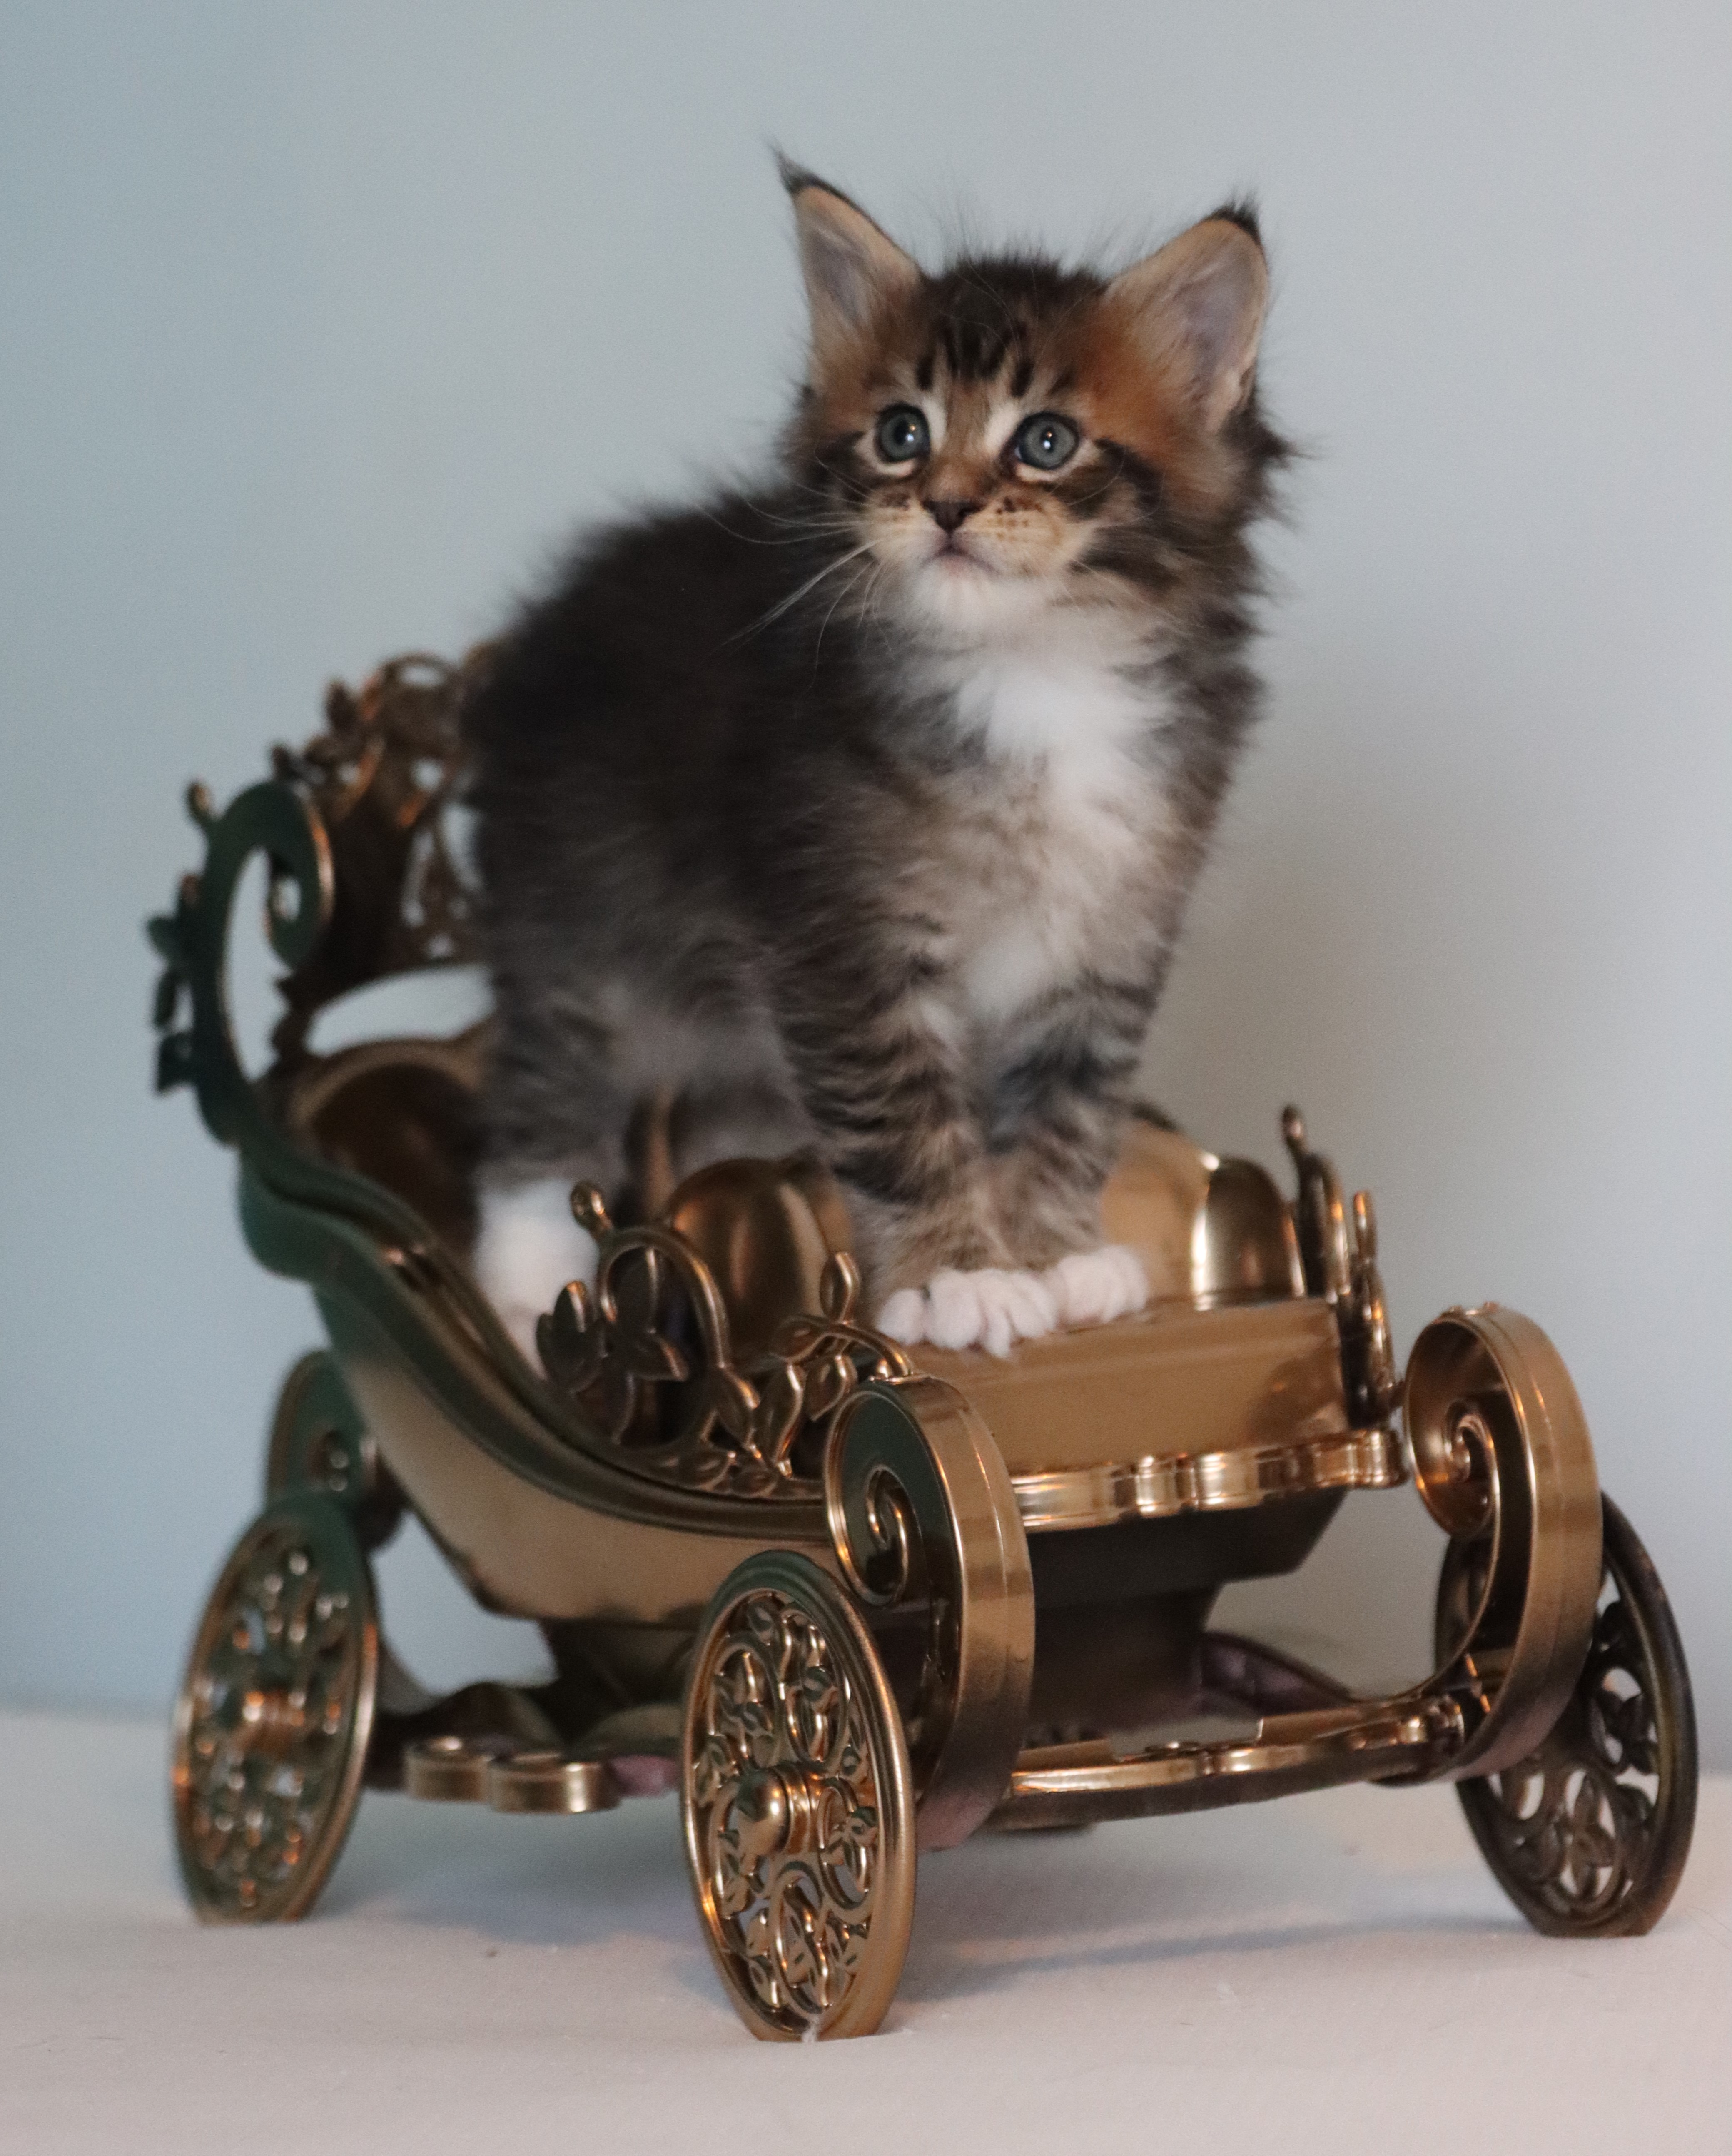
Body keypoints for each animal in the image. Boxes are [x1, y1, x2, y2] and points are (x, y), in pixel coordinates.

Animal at [464, 160, 1287, 1361]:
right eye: (901, 432)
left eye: (1045, 442)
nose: (943, 504)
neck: (1037, 670)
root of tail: (532, 636)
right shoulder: (840, 936)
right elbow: (905, 1120)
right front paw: (960, 1279)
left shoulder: (1109, 935)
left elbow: (1069, 1109)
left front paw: (1056, 1258)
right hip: (572, 925)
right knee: (538, 1096)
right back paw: (530, 1284)